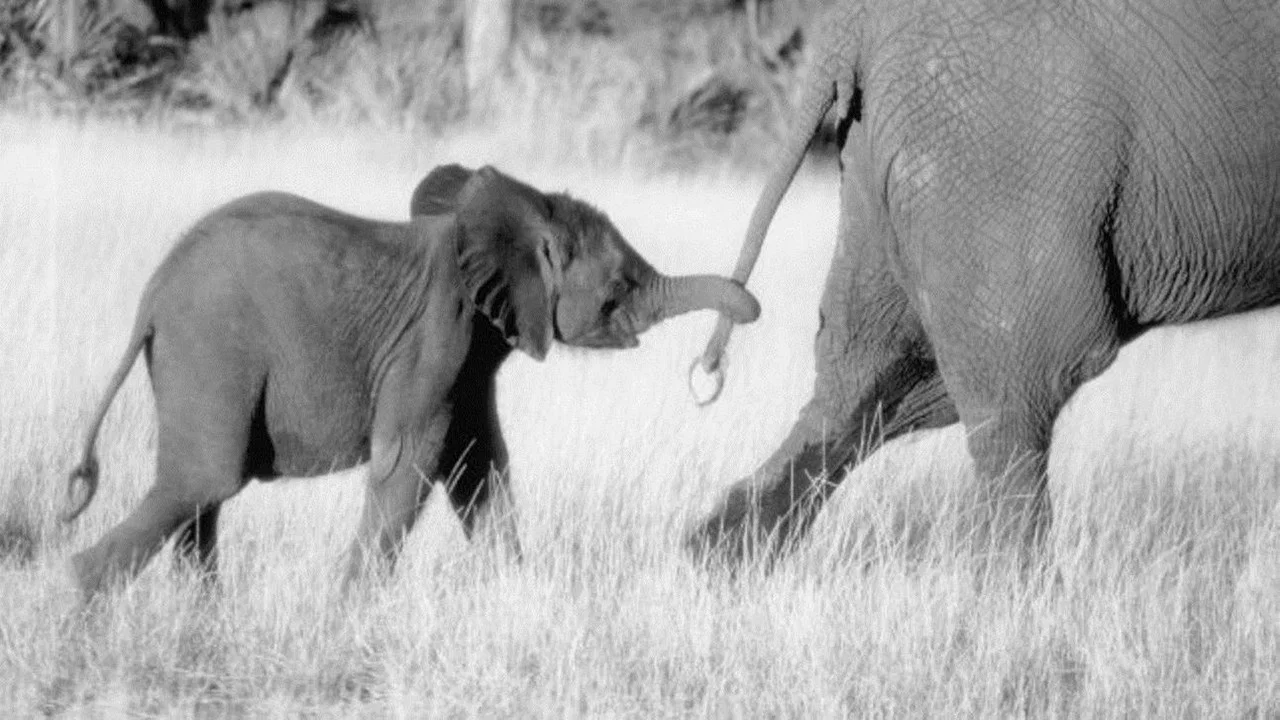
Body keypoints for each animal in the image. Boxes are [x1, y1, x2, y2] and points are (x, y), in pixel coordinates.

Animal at [62, 164, 760, 599]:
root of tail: (152, 296)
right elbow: (410, 461)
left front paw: (512, 598)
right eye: (621, 288)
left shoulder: (474, 352)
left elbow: (481, 466)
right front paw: (346, 617)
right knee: (205, 480)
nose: (709, 369)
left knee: (199, 492)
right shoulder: (435, 335)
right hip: (213, 345)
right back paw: (80, 599)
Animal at [687, 0, 1280, 565]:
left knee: (871, 374)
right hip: (995, 151)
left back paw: (720, 557)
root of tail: (855, 22)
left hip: (891, 166)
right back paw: (1024, 591)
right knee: (1018, 386)